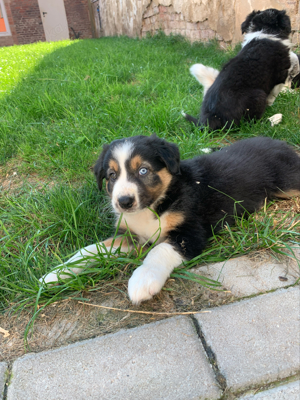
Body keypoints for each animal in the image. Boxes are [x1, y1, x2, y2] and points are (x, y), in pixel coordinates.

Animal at [40, 134, 300, 304]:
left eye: (143, 170)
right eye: (112, 175)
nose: (123, 202)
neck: (155, 206)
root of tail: (280, 143)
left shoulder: (190, 234)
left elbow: (159, 251)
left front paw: (142, 280)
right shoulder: (130, 235)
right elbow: (89, 251)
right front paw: (55, 274)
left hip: (287, 185)